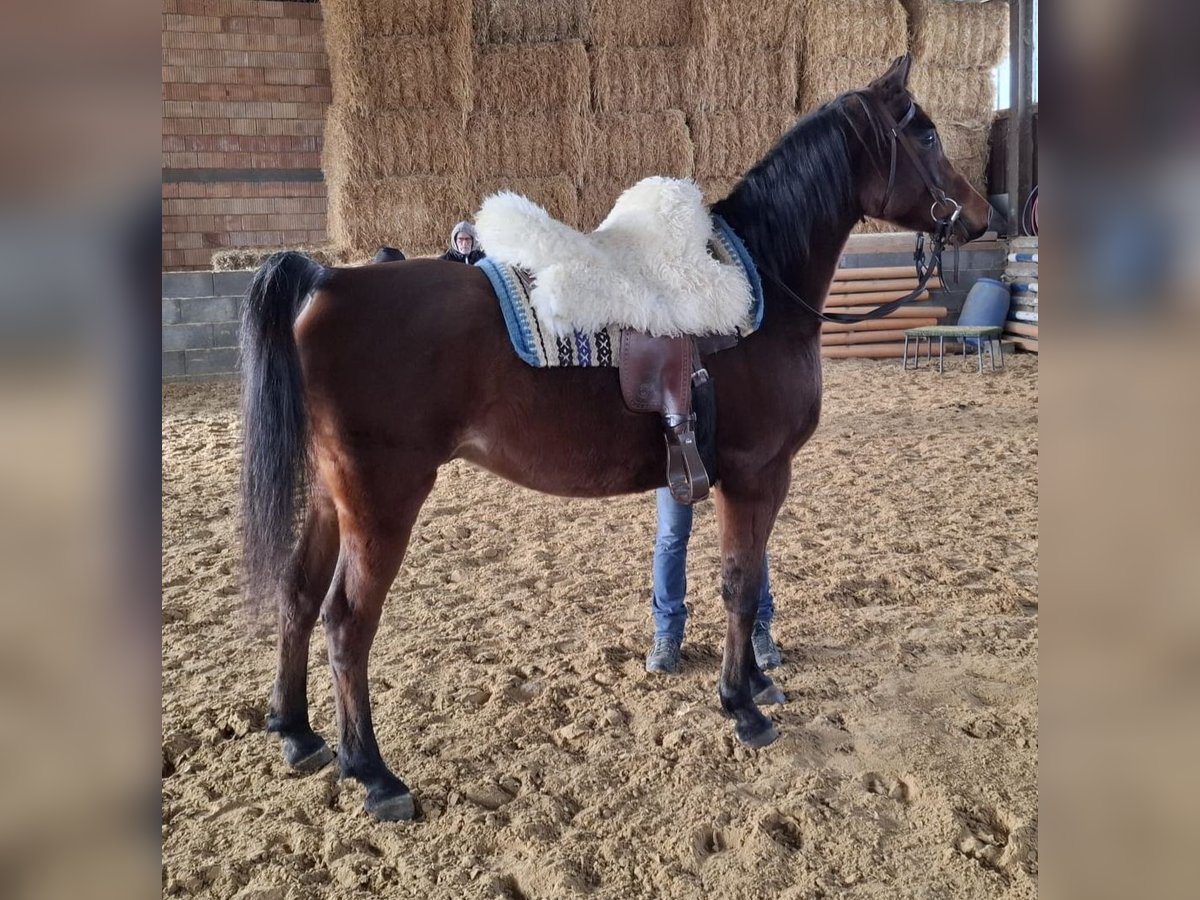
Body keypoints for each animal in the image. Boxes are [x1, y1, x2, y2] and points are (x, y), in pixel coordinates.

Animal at [238, 52, 988, 820]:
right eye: (927, 135)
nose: (984, 215)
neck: (763, 287)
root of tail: (330, 280)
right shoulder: (756, 475)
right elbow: (740, 585)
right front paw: (742, 705)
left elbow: (746, 583)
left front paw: (756, 683)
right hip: (382, 502)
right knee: (346, 622)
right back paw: (374, 774)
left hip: (332, 497)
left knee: (297, 595)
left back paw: (296, 732)